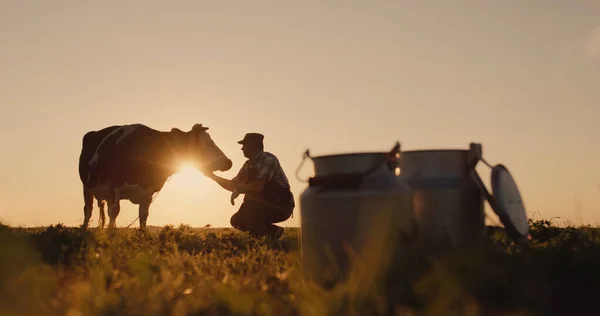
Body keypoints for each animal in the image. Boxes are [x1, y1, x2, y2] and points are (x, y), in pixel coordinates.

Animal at [77, 123, 232, 230]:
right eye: (204, 143)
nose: (228, 162)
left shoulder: (148, 194)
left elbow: (143, 218)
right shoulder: (113, 187)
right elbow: (114, 212)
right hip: (87, 188)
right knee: (88, 210)